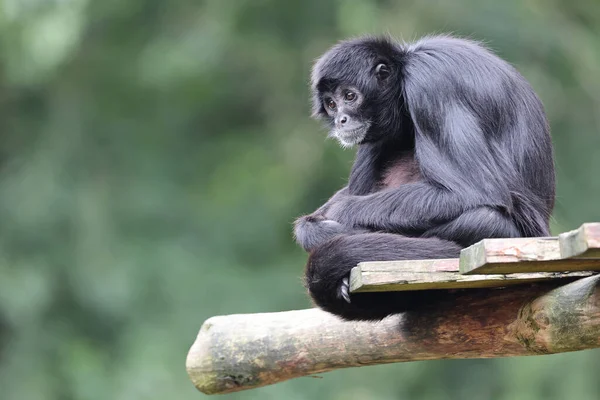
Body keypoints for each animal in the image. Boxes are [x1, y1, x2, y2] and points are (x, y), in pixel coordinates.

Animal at [292, 35, 556, 322]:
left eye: (350, 96)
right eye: (331, 104)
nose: (341, 119)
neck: (406, 64)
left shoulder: (428, 86)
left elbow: (471, 191)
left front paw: (337, 215)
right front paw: (313, 225)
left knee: (482, 218)